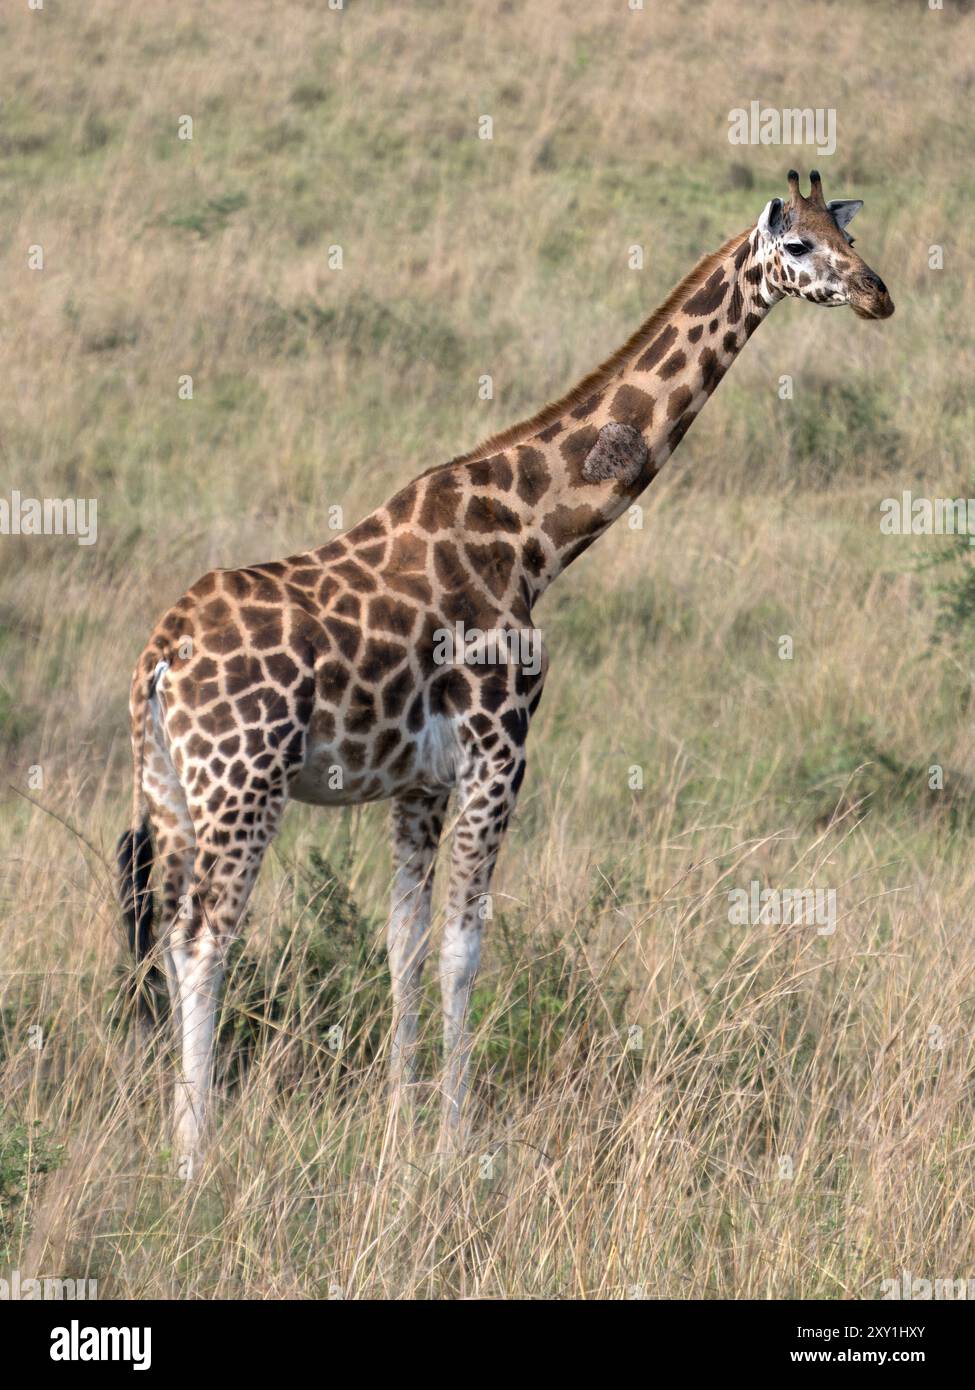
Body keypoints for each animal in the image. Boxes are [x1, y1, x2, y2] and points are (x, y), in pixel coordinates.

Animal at [117, 171, 893, 1165]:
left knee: (169, 936)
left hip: (170, 787)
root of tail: (161, 653)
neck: (532, 539)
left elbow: (403, 944)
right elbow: (464, 945)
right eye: (795, 246)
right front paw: (455, 1142)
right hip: (242, 781)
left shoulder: (418, 782)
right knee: (204, 937)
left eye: (845, 234)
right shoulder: (499, 752)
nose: (876, 294)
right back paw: (194, 1153)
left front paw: (399, 1136)